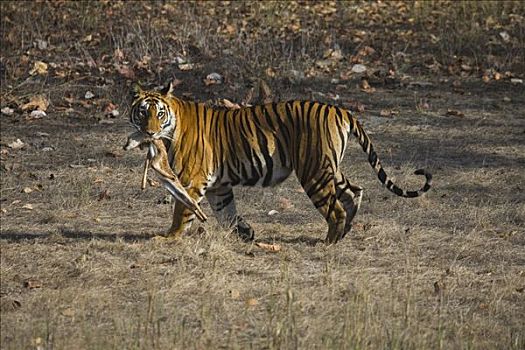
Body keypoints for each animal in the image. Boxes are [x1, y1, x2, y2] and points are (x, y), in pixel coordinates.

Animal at [126, 83, 430, 245]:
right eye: (142, 113)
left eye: (158, 113)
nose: (150, 132)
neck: (173, 123)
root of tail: (340, 109)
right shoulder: (217, 186)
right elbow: (226, 212)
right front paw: (245, 232)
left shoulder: (192, 180)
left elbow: (182, 209)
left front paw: (169, 237)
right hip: (329, 168)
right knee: (354, 192)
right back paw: (346, 231)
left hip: (314, 170)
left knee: (335, 207)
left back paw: (329, 241)